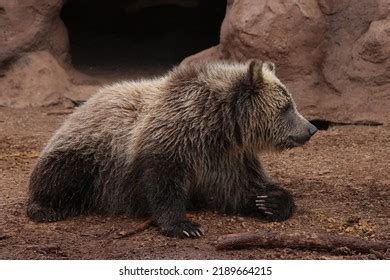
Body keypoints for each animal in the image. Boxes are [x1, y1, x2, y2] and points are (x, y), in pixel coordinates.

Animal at [26, 60, 316, 237]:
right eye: (286, 107)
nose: (311, 128)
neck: (217, 126)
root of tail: (81, 106)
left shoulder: (227, 159)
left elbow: (242, 188)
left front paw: (270, 201)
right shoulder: (171, 141)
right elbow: (163, 185)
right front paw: (184, 225)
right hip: (89, 153)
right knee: (61, 176)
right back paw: (45, 208)